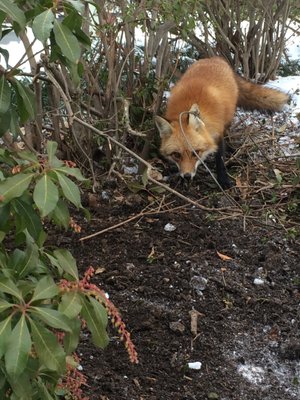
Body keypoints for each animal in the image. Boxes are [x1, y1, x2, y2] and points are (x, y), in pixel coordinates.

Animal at [155, 56, 288, 188]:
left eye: (196, 153)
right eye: (176, 155)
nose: (187, 176)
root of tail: (215, 58)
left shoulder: (218, 134)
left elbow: (220, 160)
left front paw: (223, 180)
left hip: (229, 116)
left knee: (228, 132)